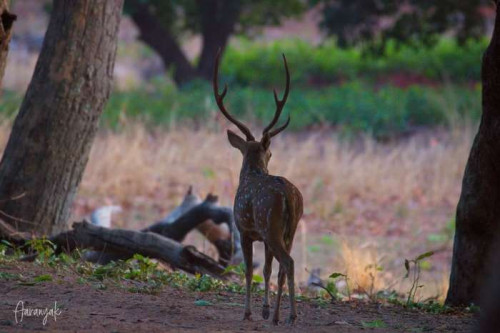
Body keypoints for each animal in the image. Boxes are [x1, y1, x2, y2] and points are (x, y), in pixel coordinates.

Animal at [213, 50, 302, 322]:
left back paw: (290, 316)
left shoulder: (244, 230)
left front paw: (248, 312)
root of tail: (288, 197)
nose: (271, 155)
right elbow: (266, 270)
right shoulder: (261, 236)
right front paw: (264, 310)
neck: (251, 174)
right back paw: (278, 316)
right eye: (270, 153)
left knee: (289, 262)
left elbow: (249, 270)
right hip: (289, 230)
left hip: (270, 224)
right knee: (283, 266)